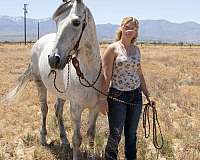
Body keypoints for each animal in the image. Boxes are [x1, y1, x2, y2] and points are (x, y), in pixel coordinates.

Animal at [4, 0, 101, 159]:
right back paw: (43, 138)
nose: (53, 59)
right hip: (40, 84)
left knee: (58, 111)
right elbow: (77, 139)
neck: (87, 74)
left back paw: (64, 140)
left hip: (60, 93)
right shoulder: (76, 109)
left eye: (76, 22)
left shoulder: (95, 108)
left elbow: (91, 136)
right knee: (44, 109)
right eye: (57, 22)